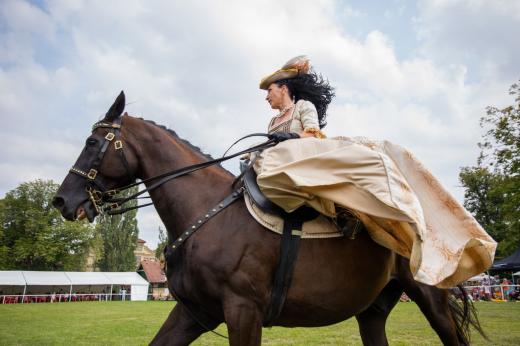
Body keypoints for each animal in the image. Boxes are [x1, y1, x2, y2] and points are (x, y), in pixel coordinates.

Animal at [52, 92, 484, 346]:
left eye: (92, 142)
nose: (61, 201)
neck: (209, 215)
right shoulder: (194, 312)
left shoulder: (243, 312)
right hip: (372, 312)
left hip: (431, 300)